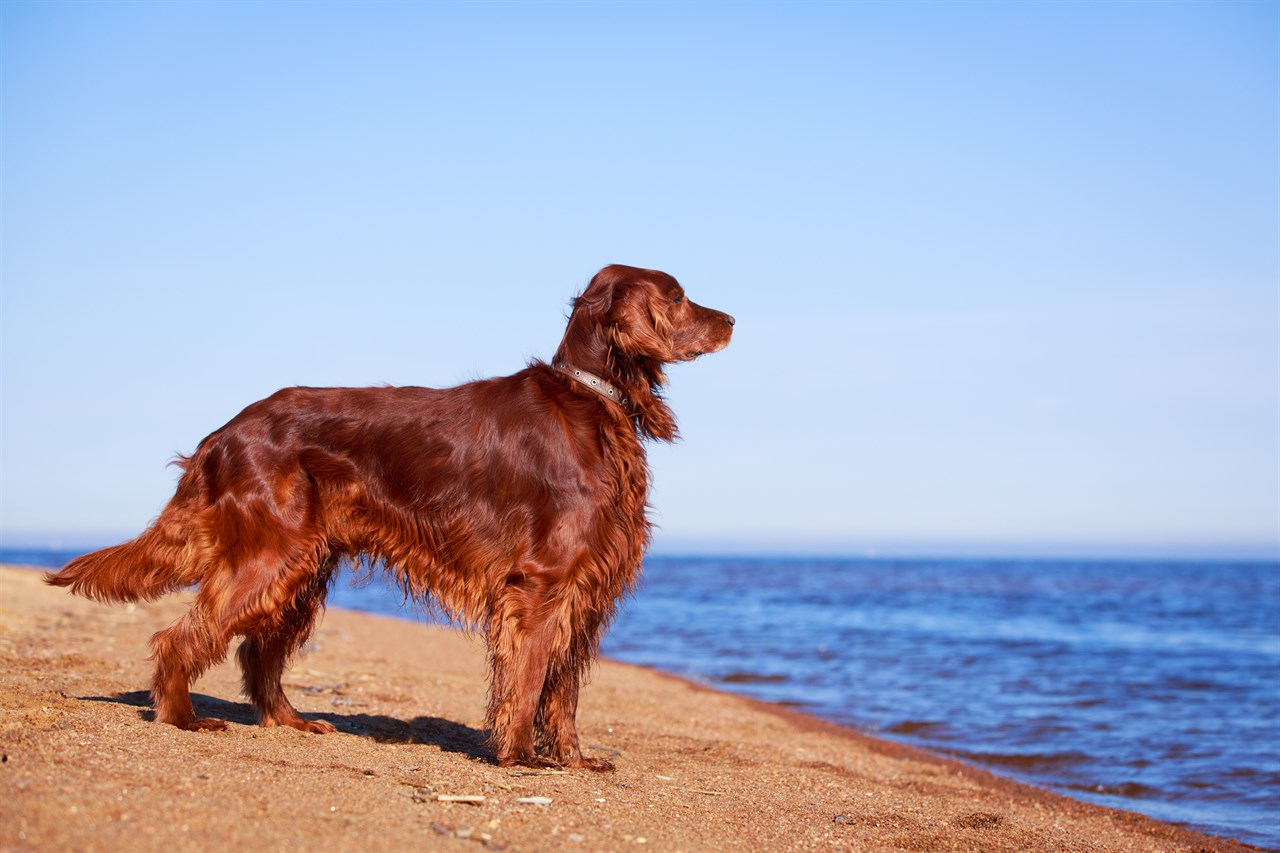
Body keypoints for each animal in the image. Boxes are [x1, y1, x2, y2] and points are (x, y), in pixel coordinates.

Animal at [45, 262, 737, 768]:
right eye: (679, 297)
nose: (731, 318)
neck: (592, 400)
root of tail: (223, 434)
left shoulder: (586, 588)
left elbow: (561, 691)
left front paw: (573, 760)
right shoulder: (543, 583)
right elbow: (529, 676)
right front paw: (519, 757)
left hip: (302, 567)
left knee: (257, 653)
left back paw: (290, 721)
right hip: (272, 556)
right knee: (182, 636)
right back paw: (182, 718)